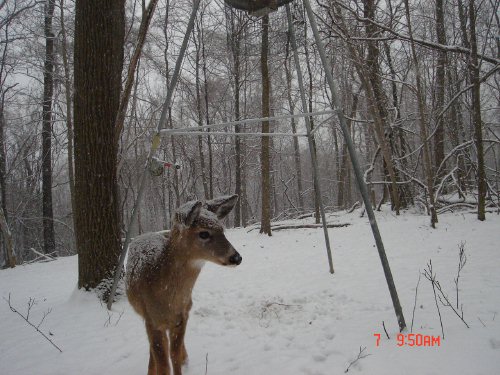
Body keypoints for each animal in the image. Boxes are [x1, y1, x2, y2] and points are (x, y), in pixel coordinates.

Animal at [125, 195, 242, 375]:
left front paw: (183, 363)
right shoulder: (152, 319)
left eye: (222, 230)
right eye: (203, 233)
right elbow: (163, 363)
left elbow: (174, 354)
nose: (236, 257)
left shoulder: (182, 317)